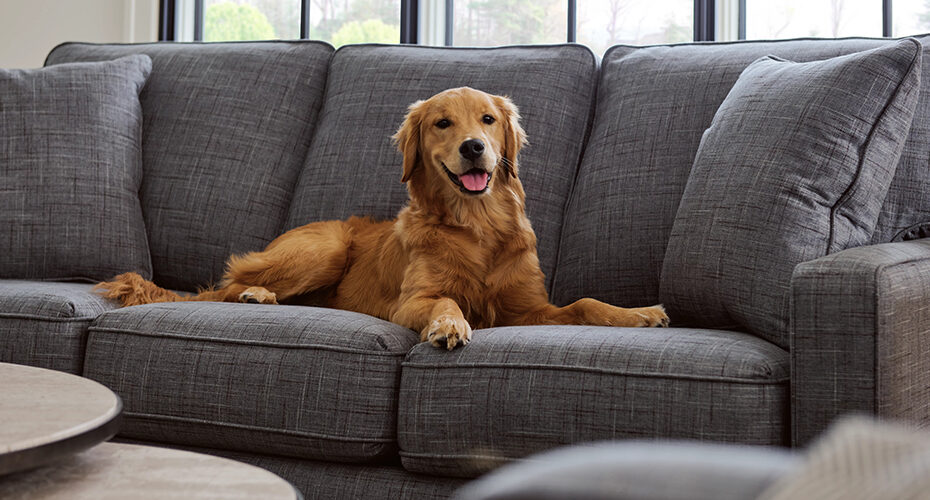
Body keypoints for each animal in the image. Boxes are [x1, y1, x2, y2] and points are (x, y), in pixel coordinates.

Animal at [98, 88, 668, 350]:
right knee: (228, 282)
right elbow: (443, 299)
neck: (475, 225)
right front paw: (449, 324)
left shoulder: (528, 310)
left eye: (488, 119)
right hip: (323, 248)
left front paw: (639, 314)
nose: (474, 147)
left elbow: (585, 303)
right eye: (442, 123)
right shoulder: (410, 301)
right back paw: (256, 295)